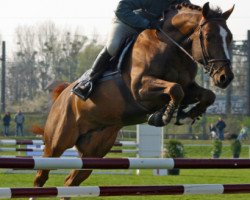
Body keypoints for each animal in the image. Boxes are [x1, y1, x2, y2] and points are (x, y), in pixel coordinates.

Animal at [32, 1, 234, 198]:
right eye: (208, 37)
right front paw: (163, 116)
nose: (225, 78)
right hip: (58, 141)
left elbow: (206, 95)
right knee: (41, 175)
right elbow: (175, 90)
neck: (170, 47)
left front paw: (186, 115)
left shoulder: (188, 86)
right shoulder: (141, 89)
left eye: (230, 37)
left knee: (71, 182)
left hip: (95, 150)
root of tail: (61, 97)